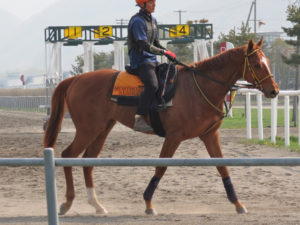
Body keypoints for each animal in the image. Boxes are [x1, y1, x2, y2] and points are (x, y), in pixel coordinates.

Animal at [42, 37, 278, 215]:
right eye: (258, 64)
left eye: (267, 61)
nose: (274, 91)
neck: (199, 87)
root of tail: (76, 79)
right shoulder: (174, 137)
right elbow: (161, 167)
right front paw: (148, 203)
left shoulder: (210, 135)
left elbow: (223, 167)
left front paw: (238, 203)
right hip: (87, 129)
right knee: (67, 155)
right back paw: (67, 202)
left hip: (102, 129)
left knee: (87, 161)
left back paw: (96, 205)